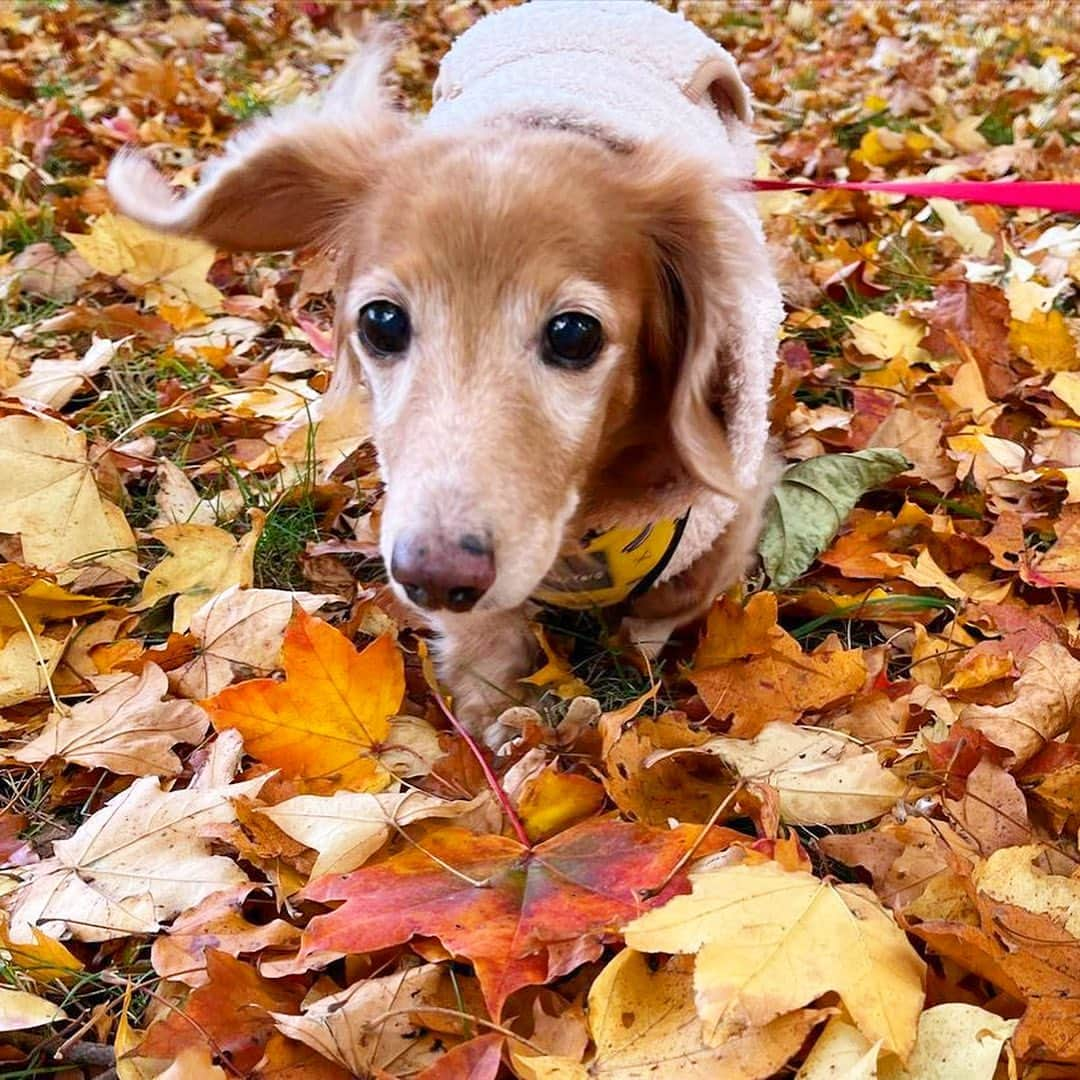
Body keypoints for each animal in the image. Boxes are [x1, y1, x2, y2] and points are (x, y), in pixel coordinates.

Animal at [109, 0, 781, 738]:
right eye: (381, 323)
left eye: (575, 335)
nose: (432, 575)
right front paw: (494, 707)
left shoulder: (728, 504)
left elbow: (671, 600)